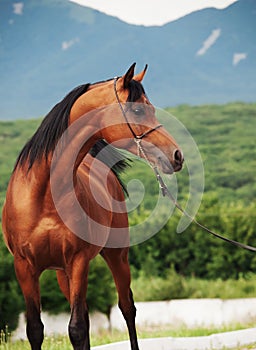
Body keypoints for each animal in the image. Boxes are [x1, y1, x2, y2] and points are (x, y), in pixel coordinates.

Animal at [1, 63, 182, 350]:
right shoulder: (24, 268)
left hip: (117, 257)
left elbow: (77, 328)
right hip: (62, 274)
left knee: (127, 308)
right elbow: (36, 330)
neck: (43, 194)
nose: (176, 155)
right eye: (138, 110)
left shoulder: (78, 262)